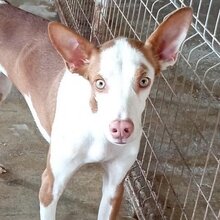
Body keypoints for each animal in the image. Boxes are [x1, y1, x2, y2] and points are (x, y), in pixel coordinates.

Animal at [0, 0, 192, 219]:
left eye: (144, 81)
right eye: (99, 83)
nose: (121, 128)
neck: (96, 128)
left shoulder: (114, 187)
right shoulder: (50, 186)